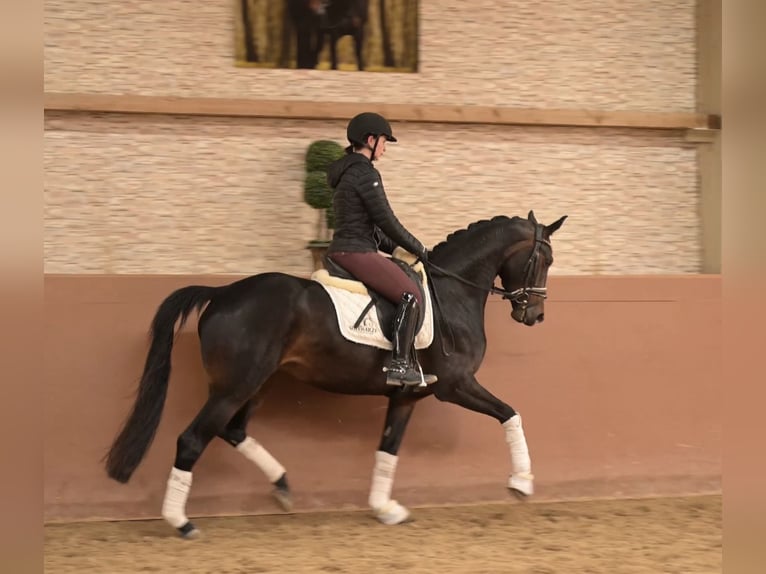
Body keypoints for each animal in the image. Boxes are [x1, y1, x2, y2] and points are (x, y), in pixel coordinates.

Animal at [104, 210, 567, 538]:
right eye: (544, 259)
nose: (535, 315)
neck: (452, 293)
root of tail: (222, 294)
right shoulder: (456, 386)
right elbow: (511, 414)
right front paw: (522, 483)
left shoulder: (406, 397)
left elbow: (387, 449)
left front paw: (385, 508)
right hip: (235, 387)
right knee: (192, 439)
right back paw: (181, 522)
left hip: (255, 384)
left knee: (233, 431)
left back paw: (283, 486)